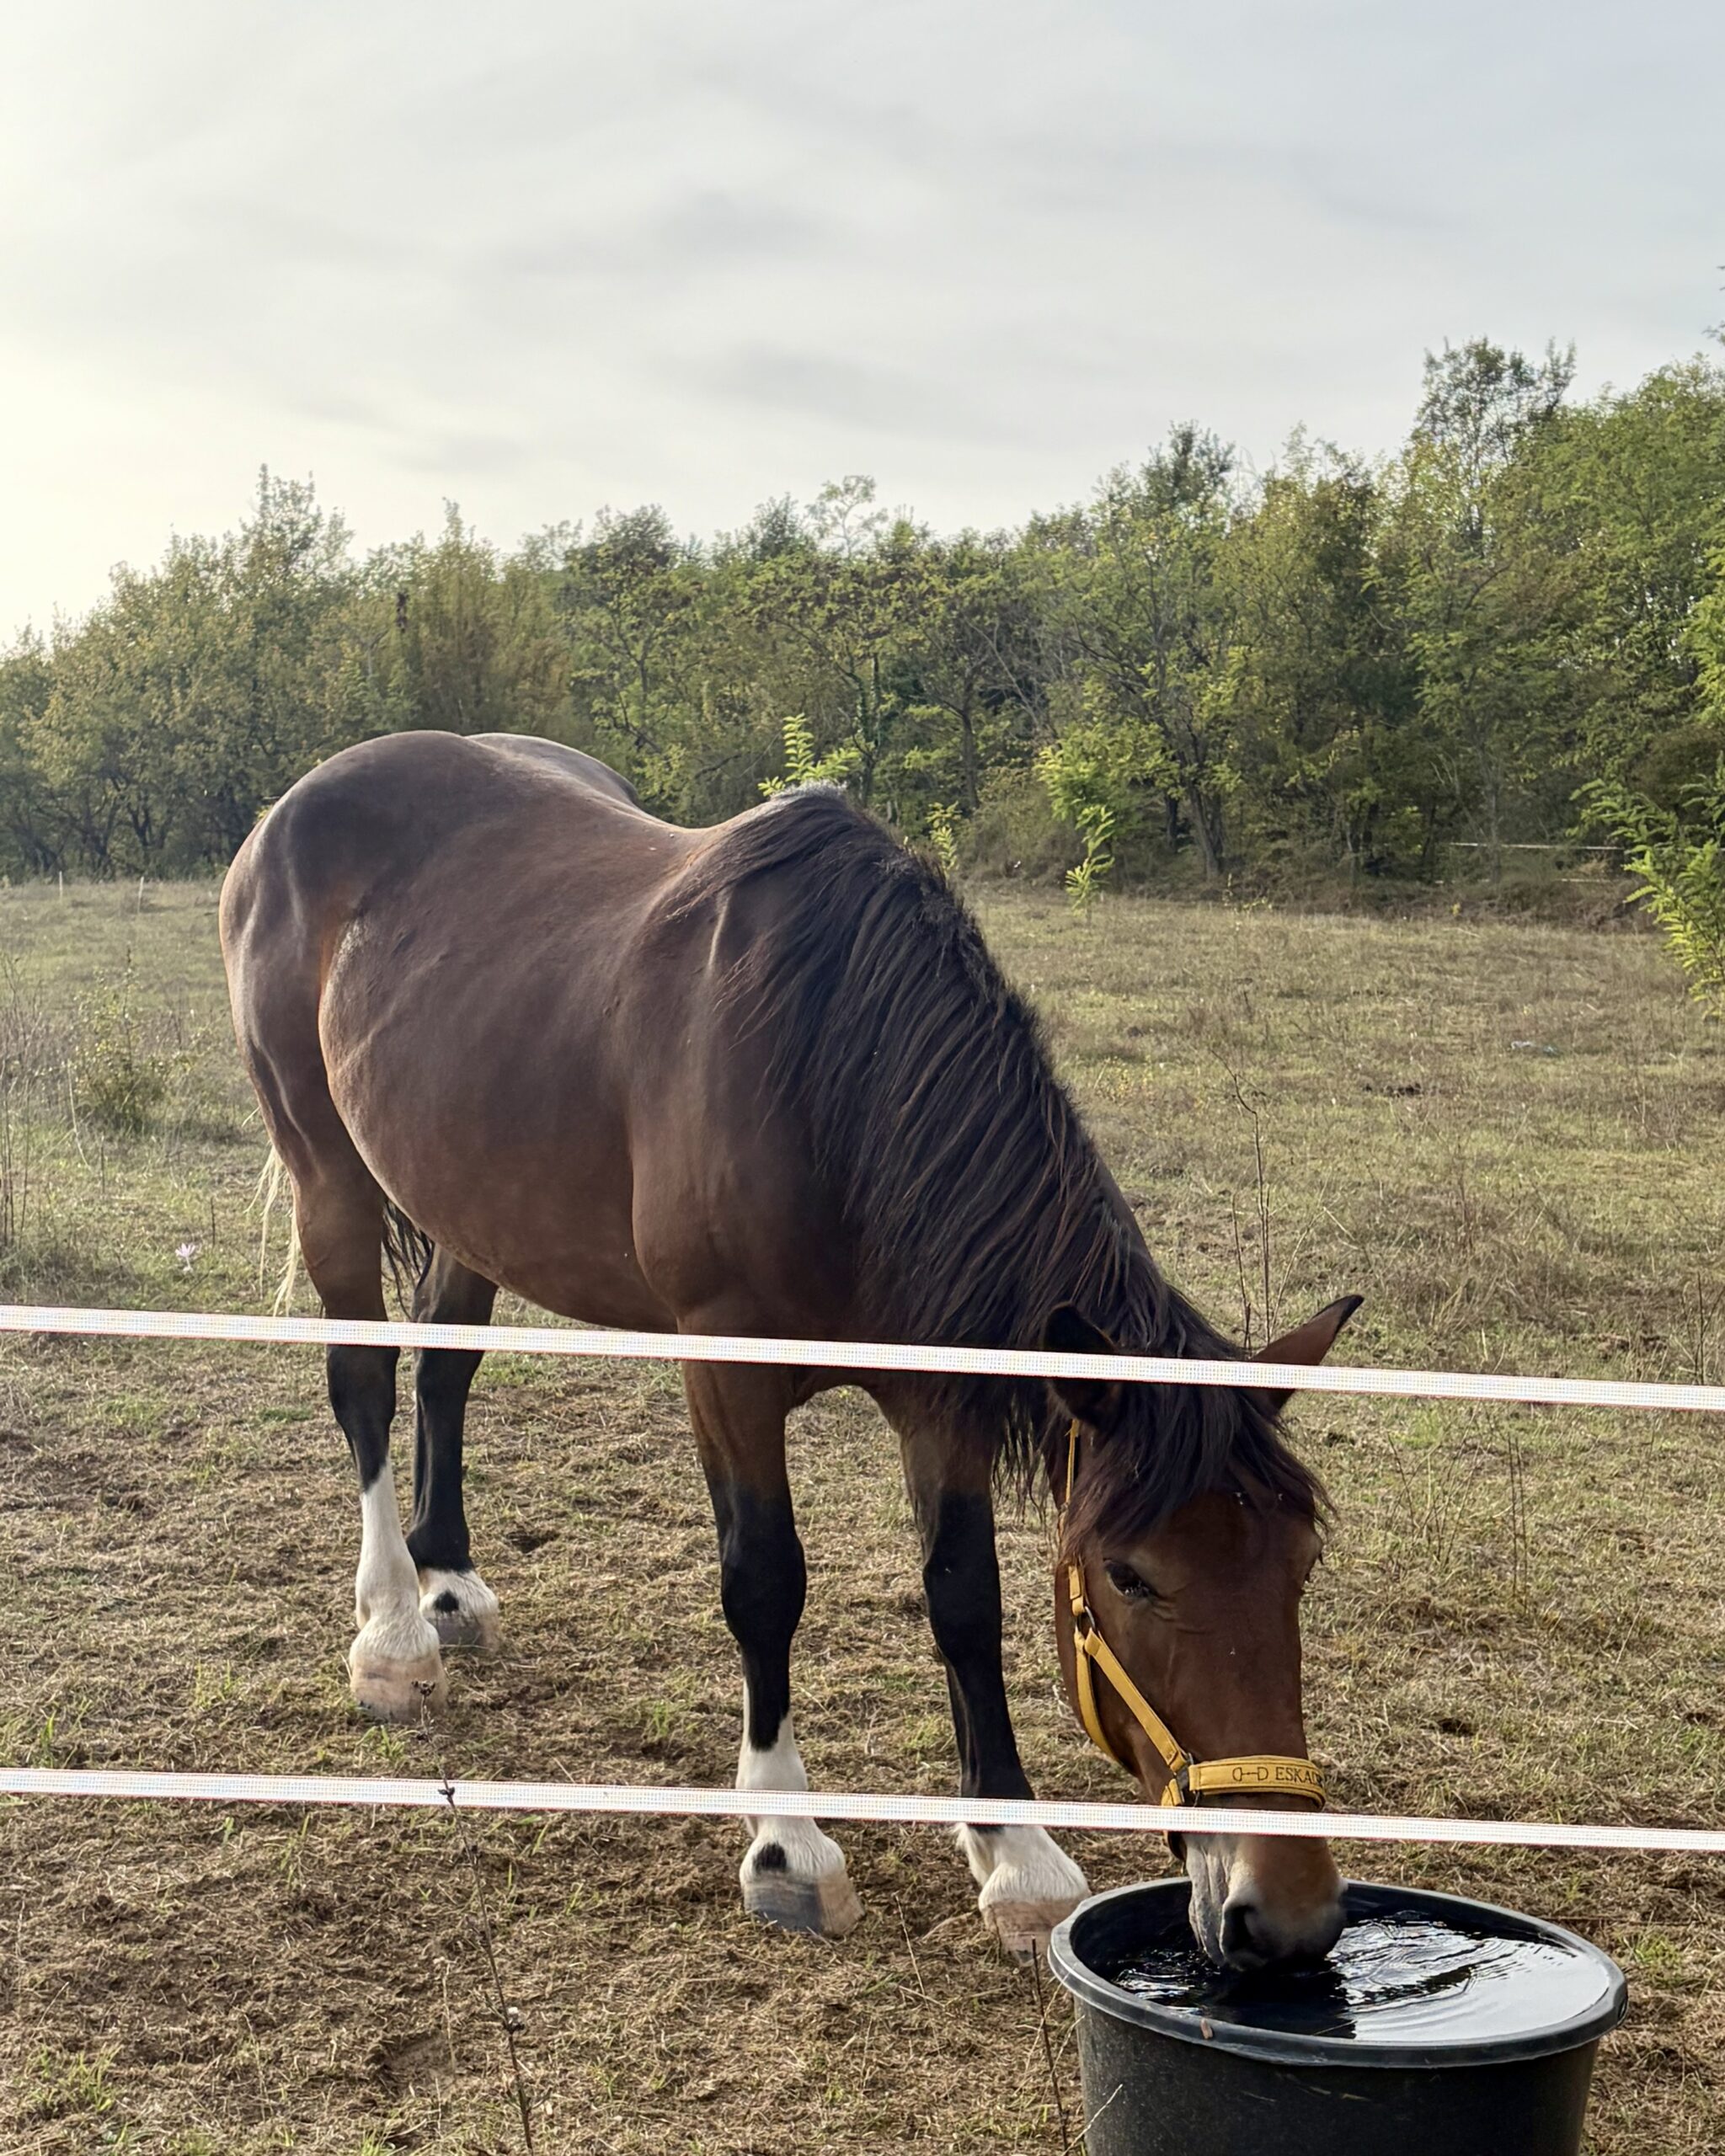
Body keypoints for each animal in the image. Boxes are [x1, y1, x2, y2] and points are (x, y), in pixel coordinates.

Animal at [219, 729, 1358, 1968]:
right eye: (1130, 1575)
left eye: (1300, 1562)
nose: (1285, 1917)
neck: (825, 1081)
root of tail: (296, 803)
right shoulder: (726, 1370)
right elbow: (765, 1581)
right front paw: (786, 1843)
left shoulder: (939, 1397)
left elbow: (964, 1597)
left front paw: (1015, 1856)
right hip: (329, 1174)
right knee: (366, 1385)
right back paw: (391, 1634)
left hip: (469, 1200)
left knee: (444, 1370)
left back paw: (449, 1586)